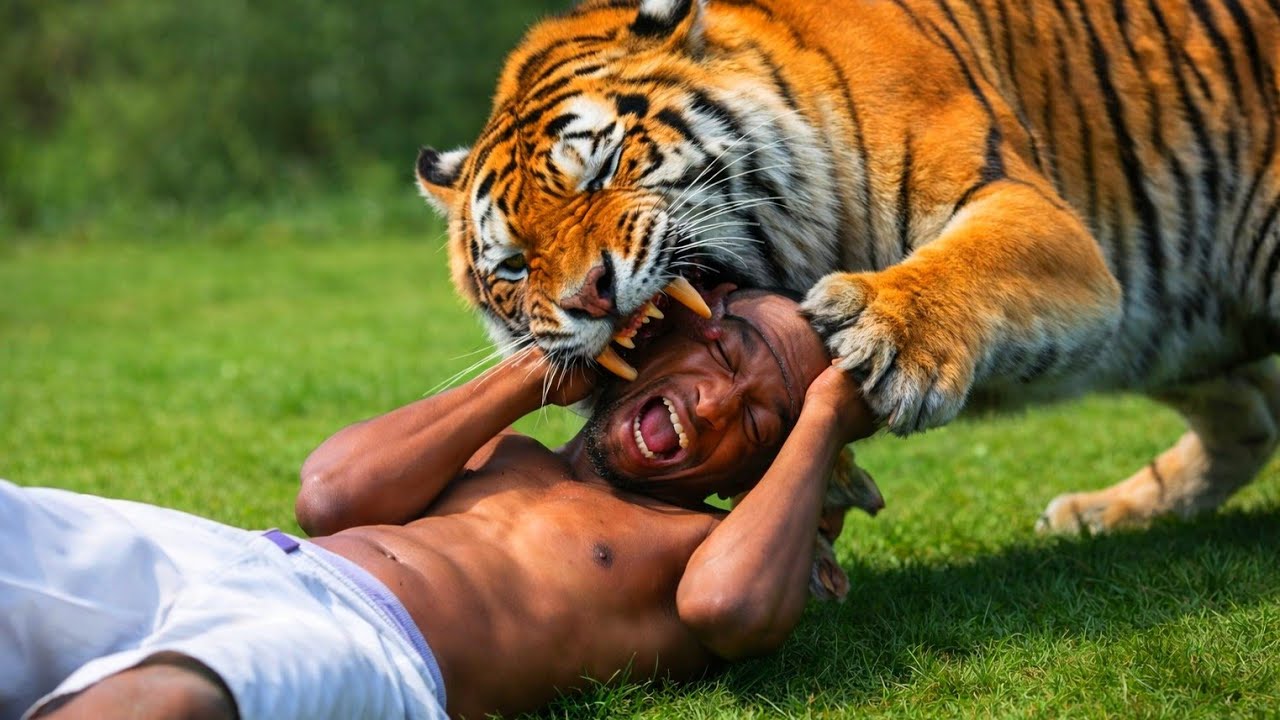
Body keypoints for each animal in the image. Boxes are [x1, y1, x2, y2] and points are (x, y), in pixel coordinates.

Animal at [415, 0, 1280, 535]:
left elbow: (973, 262)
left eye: (600, 171)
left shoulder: (1031, 209)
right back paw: (1105, 512)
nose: (589, 297)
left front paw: (886, 331)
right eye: (515, 265)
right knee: (1250, 419)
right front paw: (829, 474)